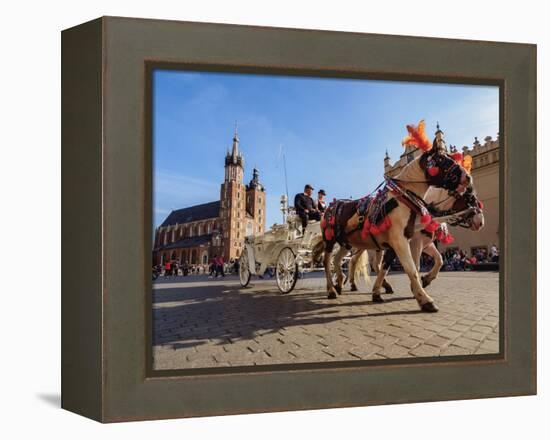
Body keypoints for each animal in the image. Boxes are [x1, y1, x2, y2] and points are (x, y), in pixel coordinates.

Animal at [316, 146, 472, 312]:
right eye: (441, 159)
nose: (468, 177)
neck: (402, 199)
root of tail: (331, 205)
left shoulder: (395, 244)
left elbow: (385, 268)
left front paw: (377, 292)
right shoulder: (401, 241)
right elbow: (412, 269)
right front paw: (424, 299)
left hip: (347, 243)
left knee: (339, 260)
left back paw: (339, 282)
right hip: (330, 240)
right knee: (327, 262)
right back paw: (331, 290)